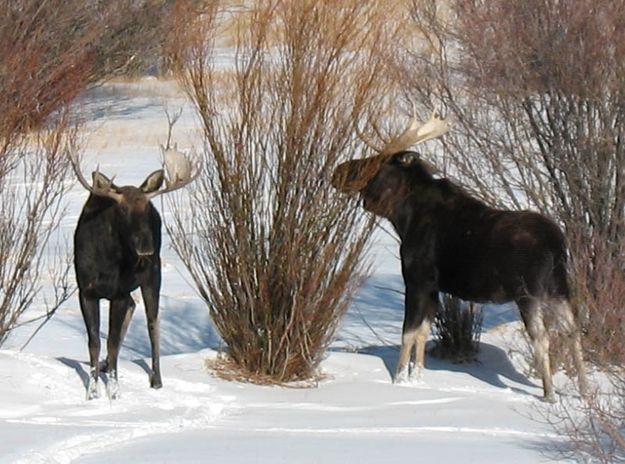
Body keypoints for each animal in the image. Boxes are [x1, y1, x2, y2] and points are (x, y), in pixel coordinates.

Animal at [68, 149, 196, 398]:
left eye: (147, 209)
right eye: (123, 210)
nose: (146, 246)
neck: (106, 262)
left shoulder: (118, 292)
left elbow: (112, 342)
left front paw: (114, 393)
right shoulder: (85, 291)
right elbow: (94, 342)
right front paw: (92, 392)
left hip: (152, 274)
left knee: (152, 322)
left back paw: (156, 380)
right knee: (132, 306)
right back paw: (106, 365)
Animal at [334, 110, 588, 400]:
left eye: (378, 161)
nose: (337, 171)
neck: (403, 217)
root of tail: (557, 244)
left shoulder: (418, 278)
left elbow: (408, 333)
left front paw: (399, 380)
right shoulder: (434, 287)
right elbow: (423, 333)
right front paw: (417, 378)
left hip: (528, 293)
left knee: (542, 337)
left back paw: (549, 394)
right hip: (560, 288)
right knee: (572, 331)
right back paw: (584, 391)